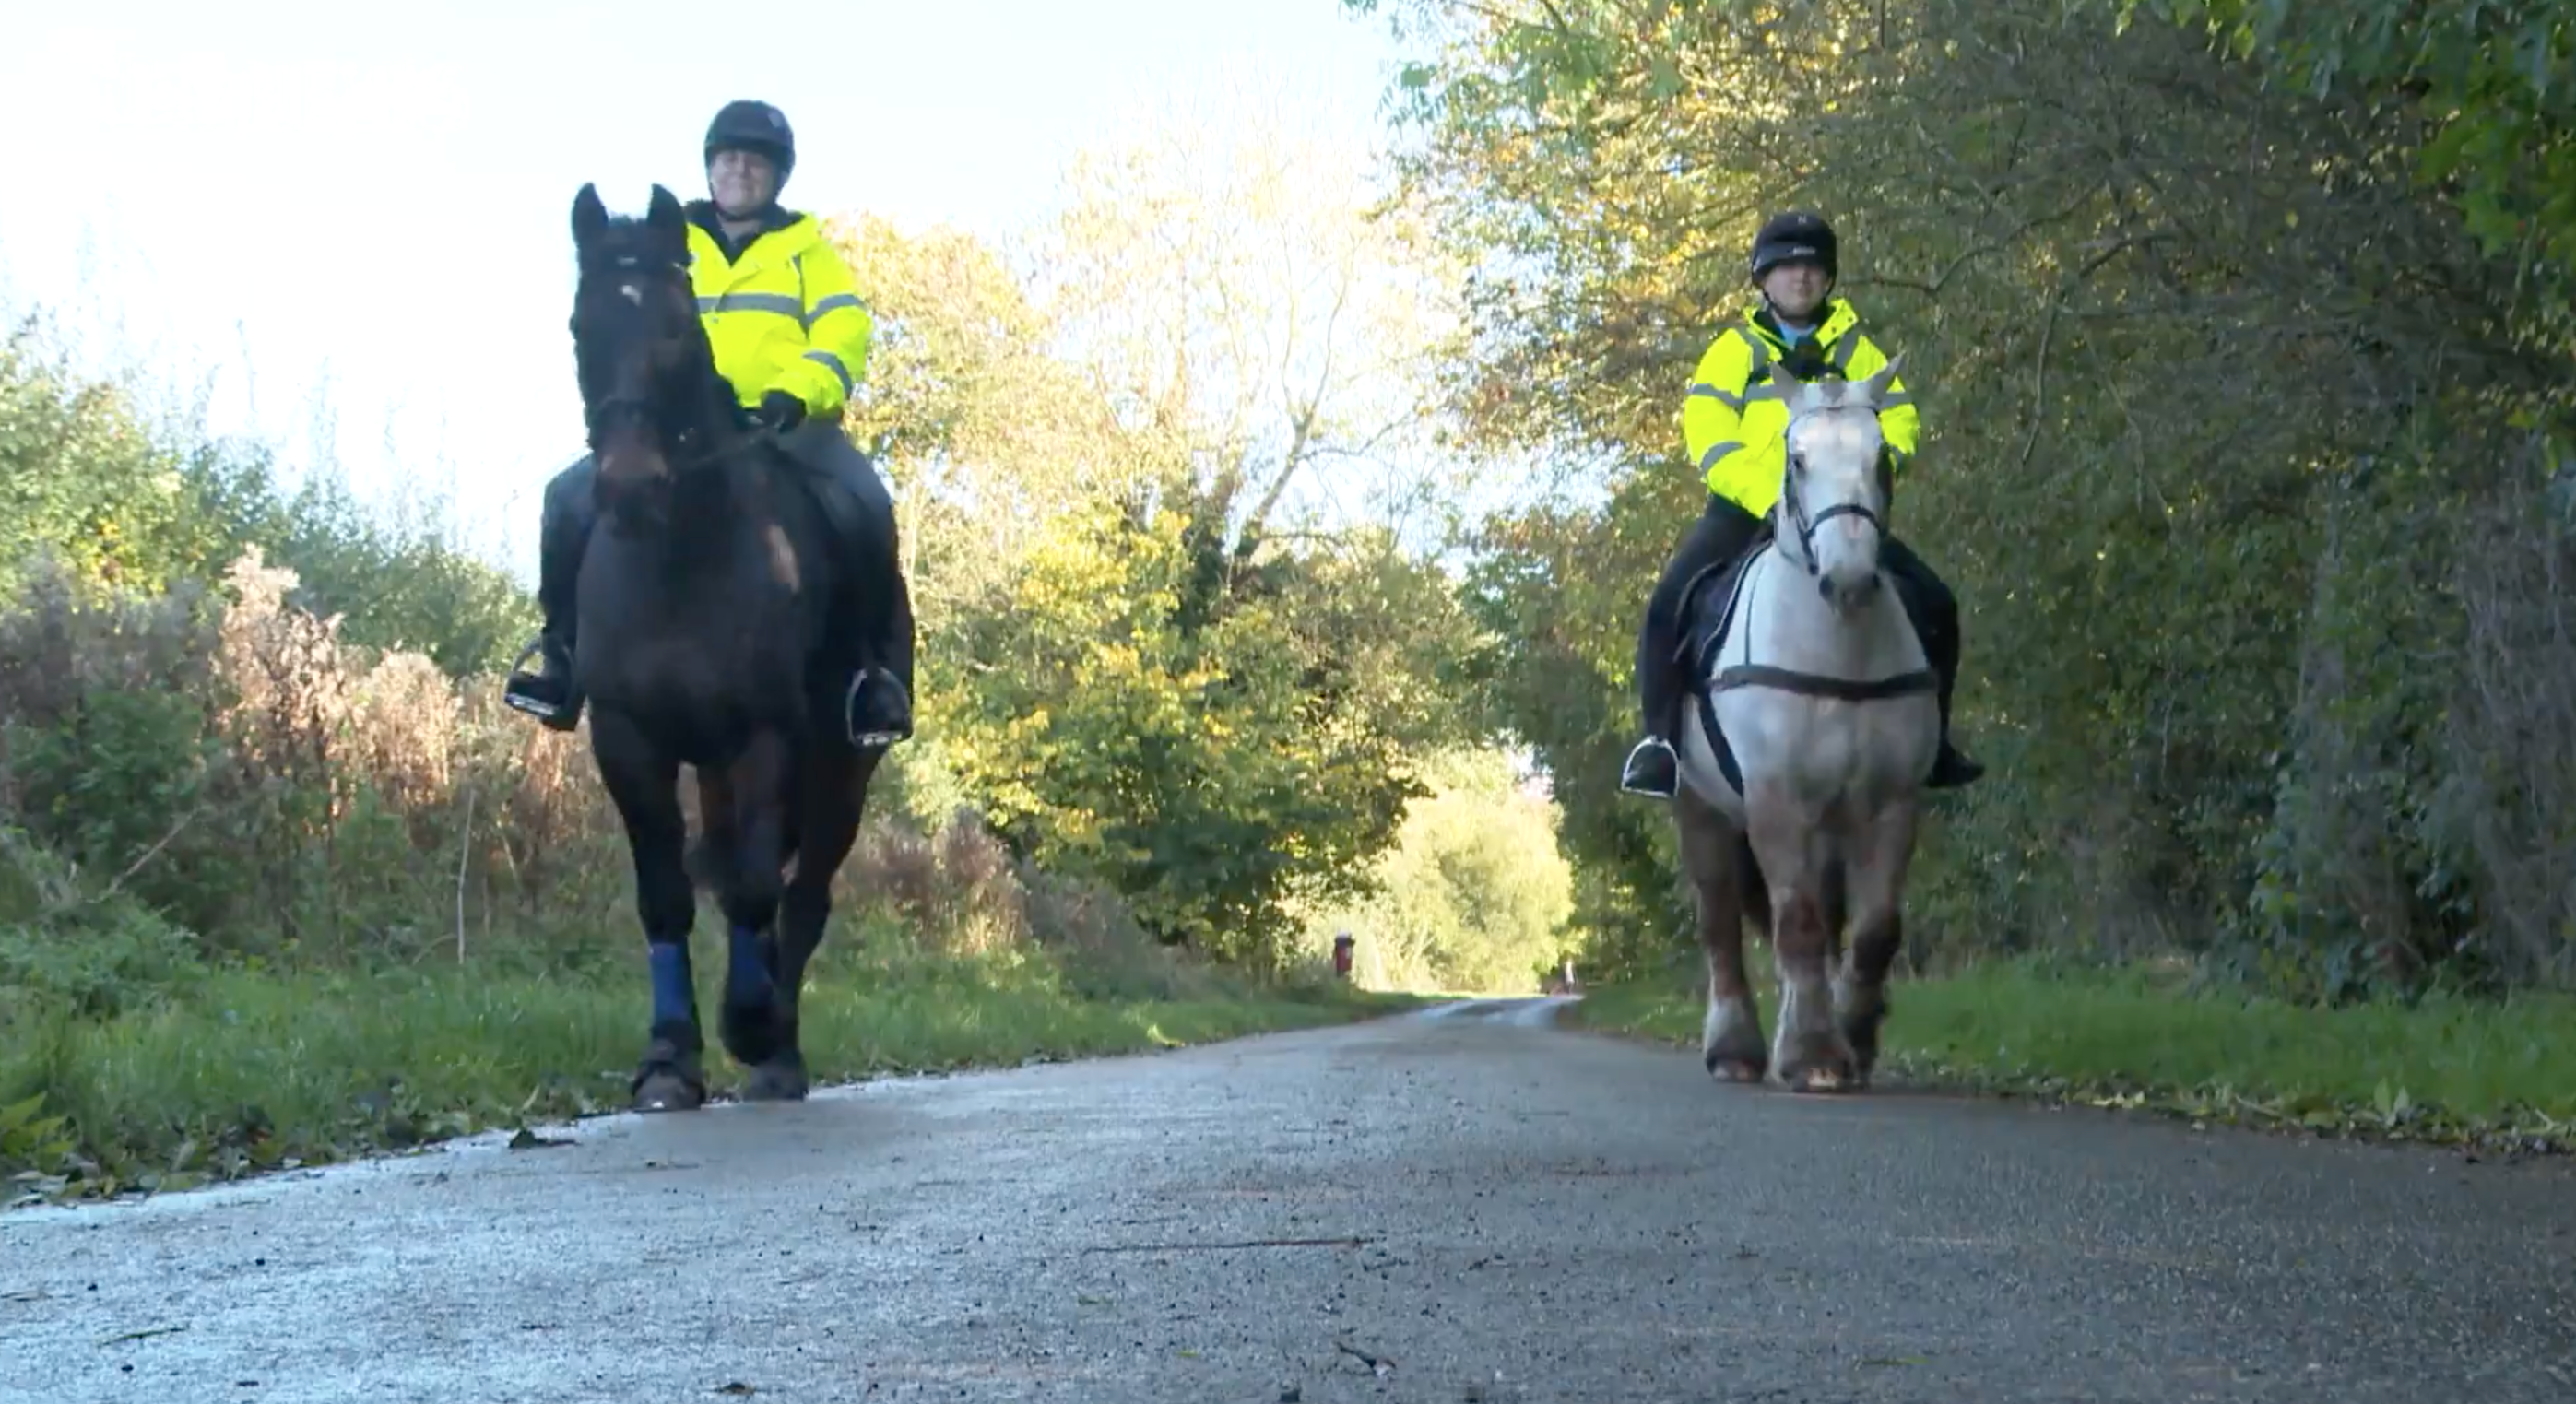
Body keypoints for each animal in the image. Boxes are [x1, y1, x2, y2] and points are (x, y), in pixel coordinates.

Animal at [562, 182, 893, 1112]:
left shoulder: (768, 735)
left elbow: (755, 889)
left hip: (842, 772)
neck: (682, 557)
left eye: (678, 325)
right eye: (580, 325)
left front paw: (748, 1025)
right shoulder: (628, 738)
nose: (629, 487)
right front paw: (670, 1055)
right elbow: (667, 897)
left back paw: (777, 1045)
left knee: (802, 898)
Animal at [1667, 360, 1941, 1093]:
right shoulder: (1776, 800)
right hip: (1701, 809)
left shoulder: (1892, 804)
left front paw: (1852, 1039)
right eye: (1797, 459)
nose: (1848, 578)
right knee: (1721, 925)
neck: (1838, 650)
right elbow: (1796, 923)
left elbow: (1871, 929)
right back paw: (1735, 1048)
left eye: (1881, 457)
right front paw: (1814, 1055)